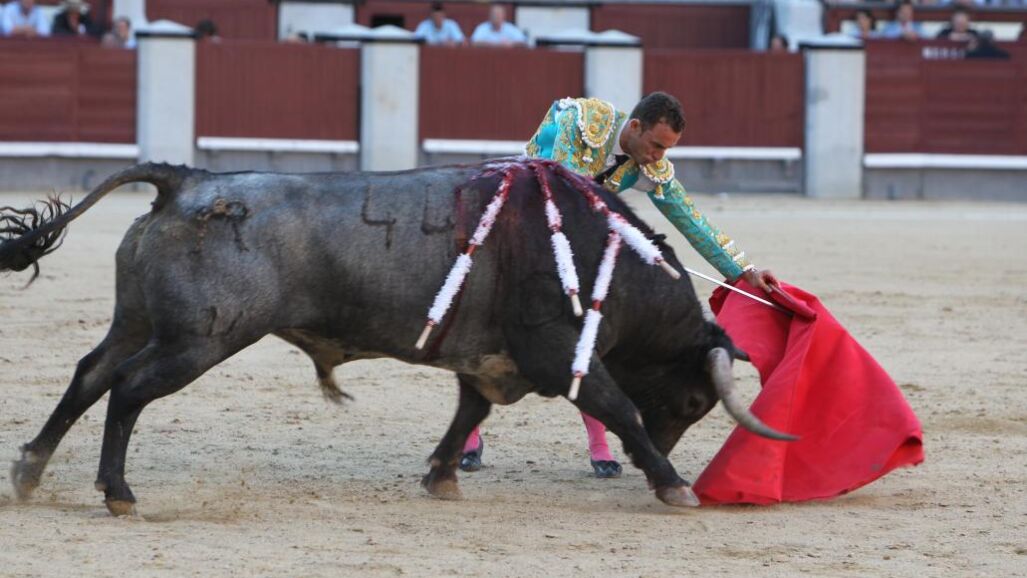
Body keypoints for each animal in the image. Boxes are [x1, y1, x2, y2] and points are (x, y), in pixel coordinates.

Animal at [1, 160, 792, 517]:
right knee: (128, 390)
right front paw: (673, 484)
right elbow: (617, 406)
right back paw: (118, 493)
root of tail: (187, 182)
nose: (660, 452)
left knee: (89, 375)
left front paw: (441, 476)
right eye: (693, 402)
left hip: (138, 322)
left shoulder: (489, 362)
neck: (601, 251)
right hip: (197, 341)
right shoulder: (558, 352)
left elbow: (468, 412)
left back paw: (32, 470)